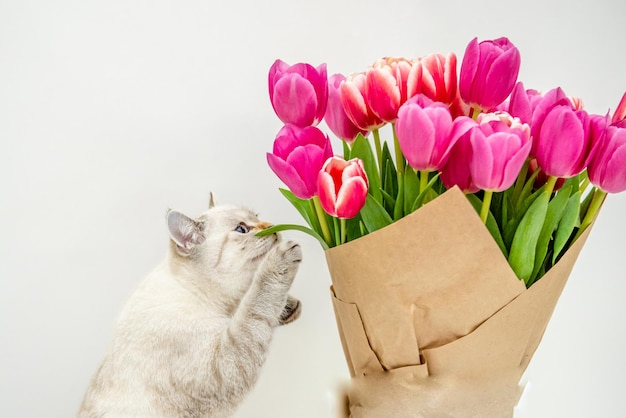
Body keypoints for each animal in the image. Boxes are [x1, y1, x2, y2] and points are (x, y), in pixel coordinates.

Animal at [77, 200, 302, 418]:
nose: (273, 226)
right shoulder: (223, 365)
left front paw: (289, 307)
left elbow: (252, 304)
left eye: (256, 216)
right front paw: (279, 259)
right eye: (241, 229)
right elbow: (256, 303)